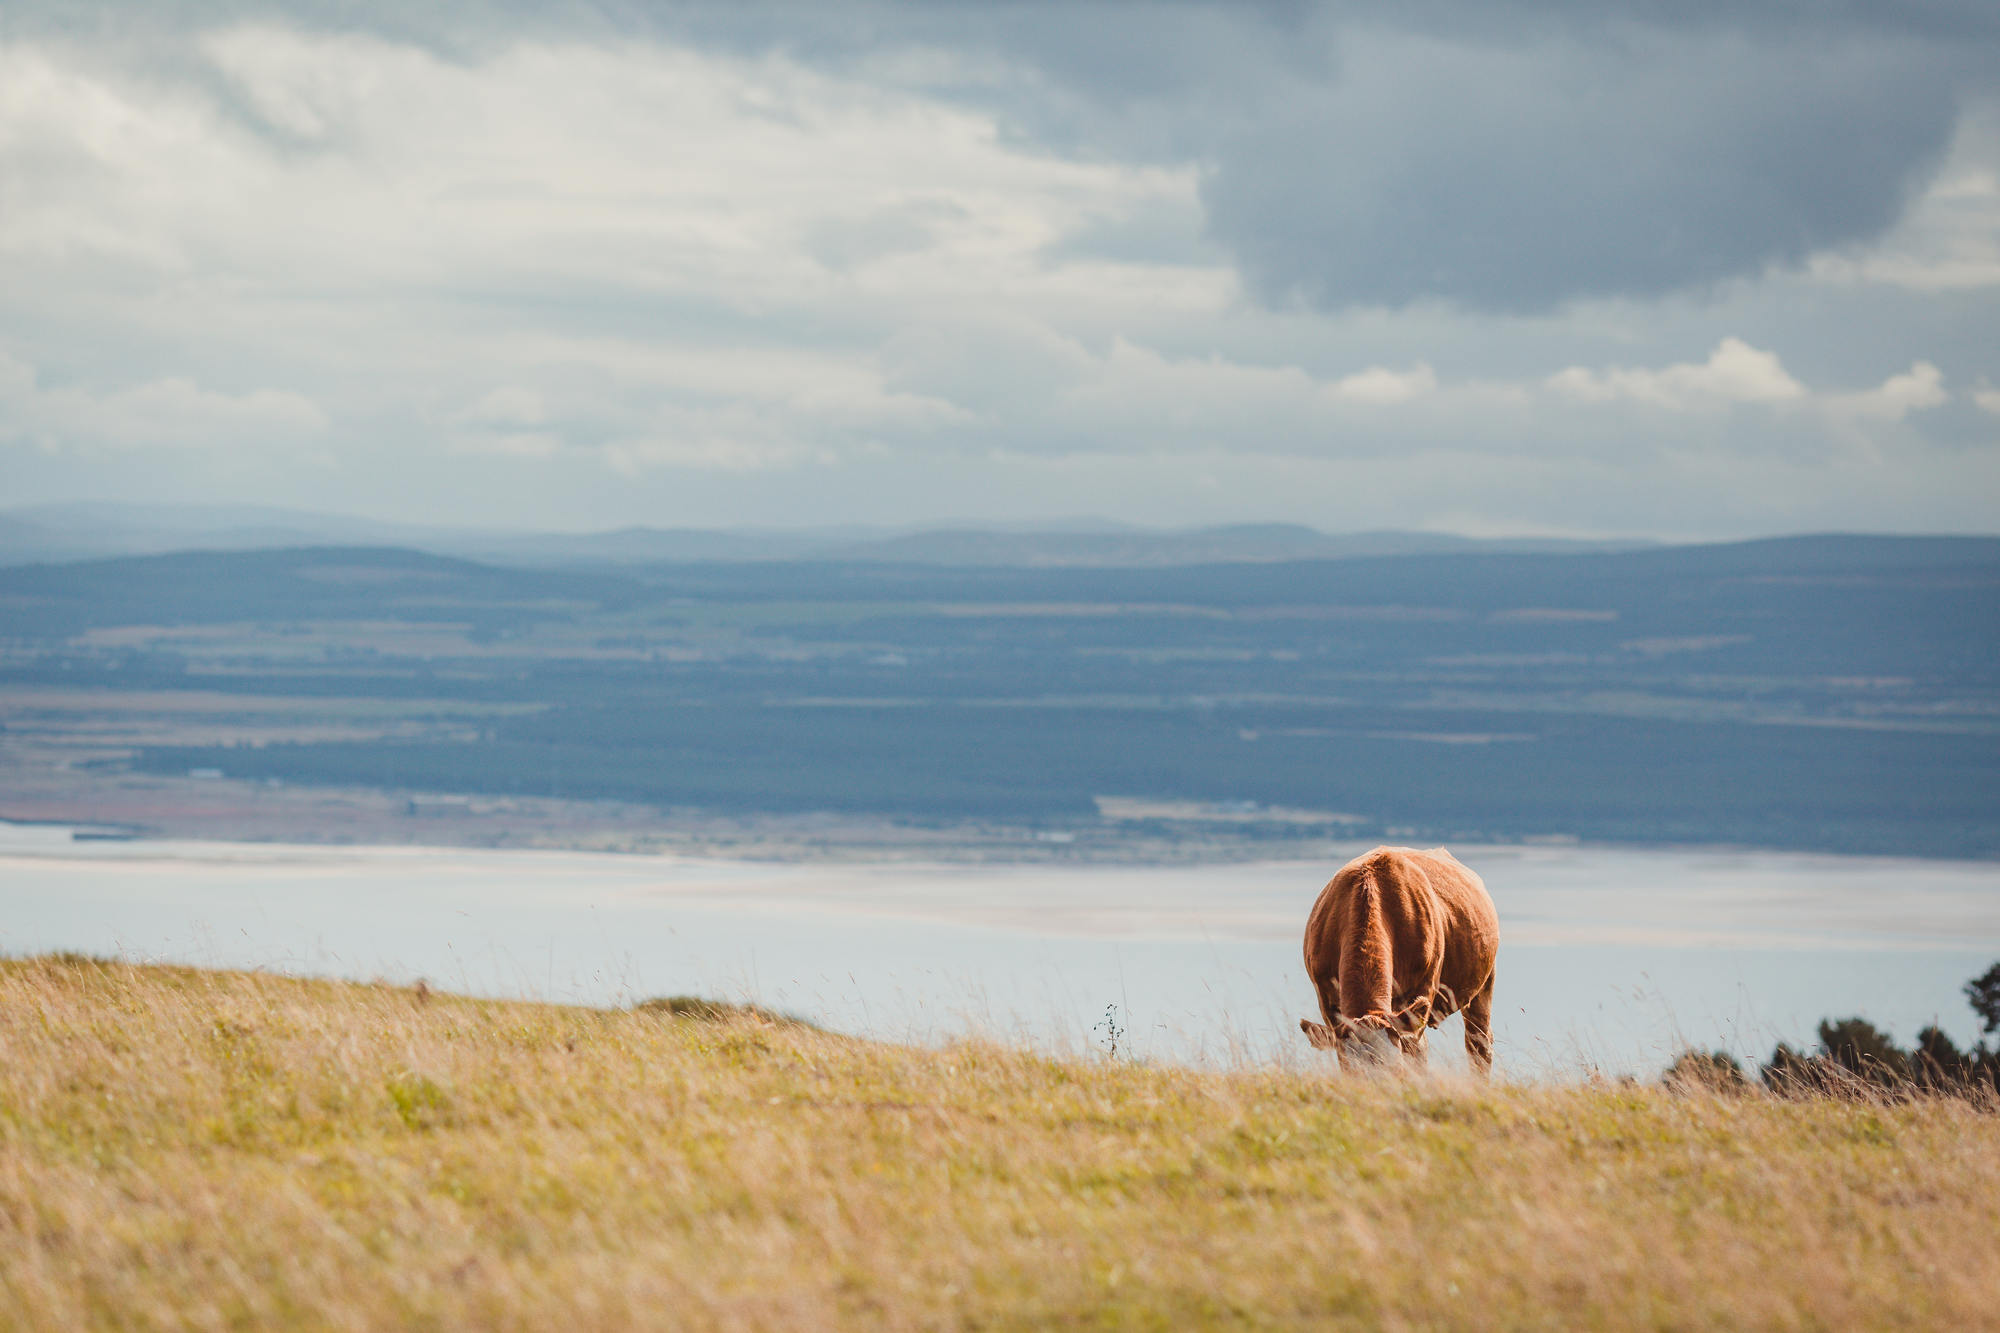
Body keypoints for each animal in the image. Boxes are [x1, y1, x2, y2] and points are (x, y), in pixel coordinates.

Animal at [1296, 844, 1504, 1072]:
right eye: (1349, 1070)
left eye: (1395, 1069)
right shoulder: (1326, 999)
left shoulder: (1422, 990)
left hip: (1484, 983)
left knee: (1478, 1045)